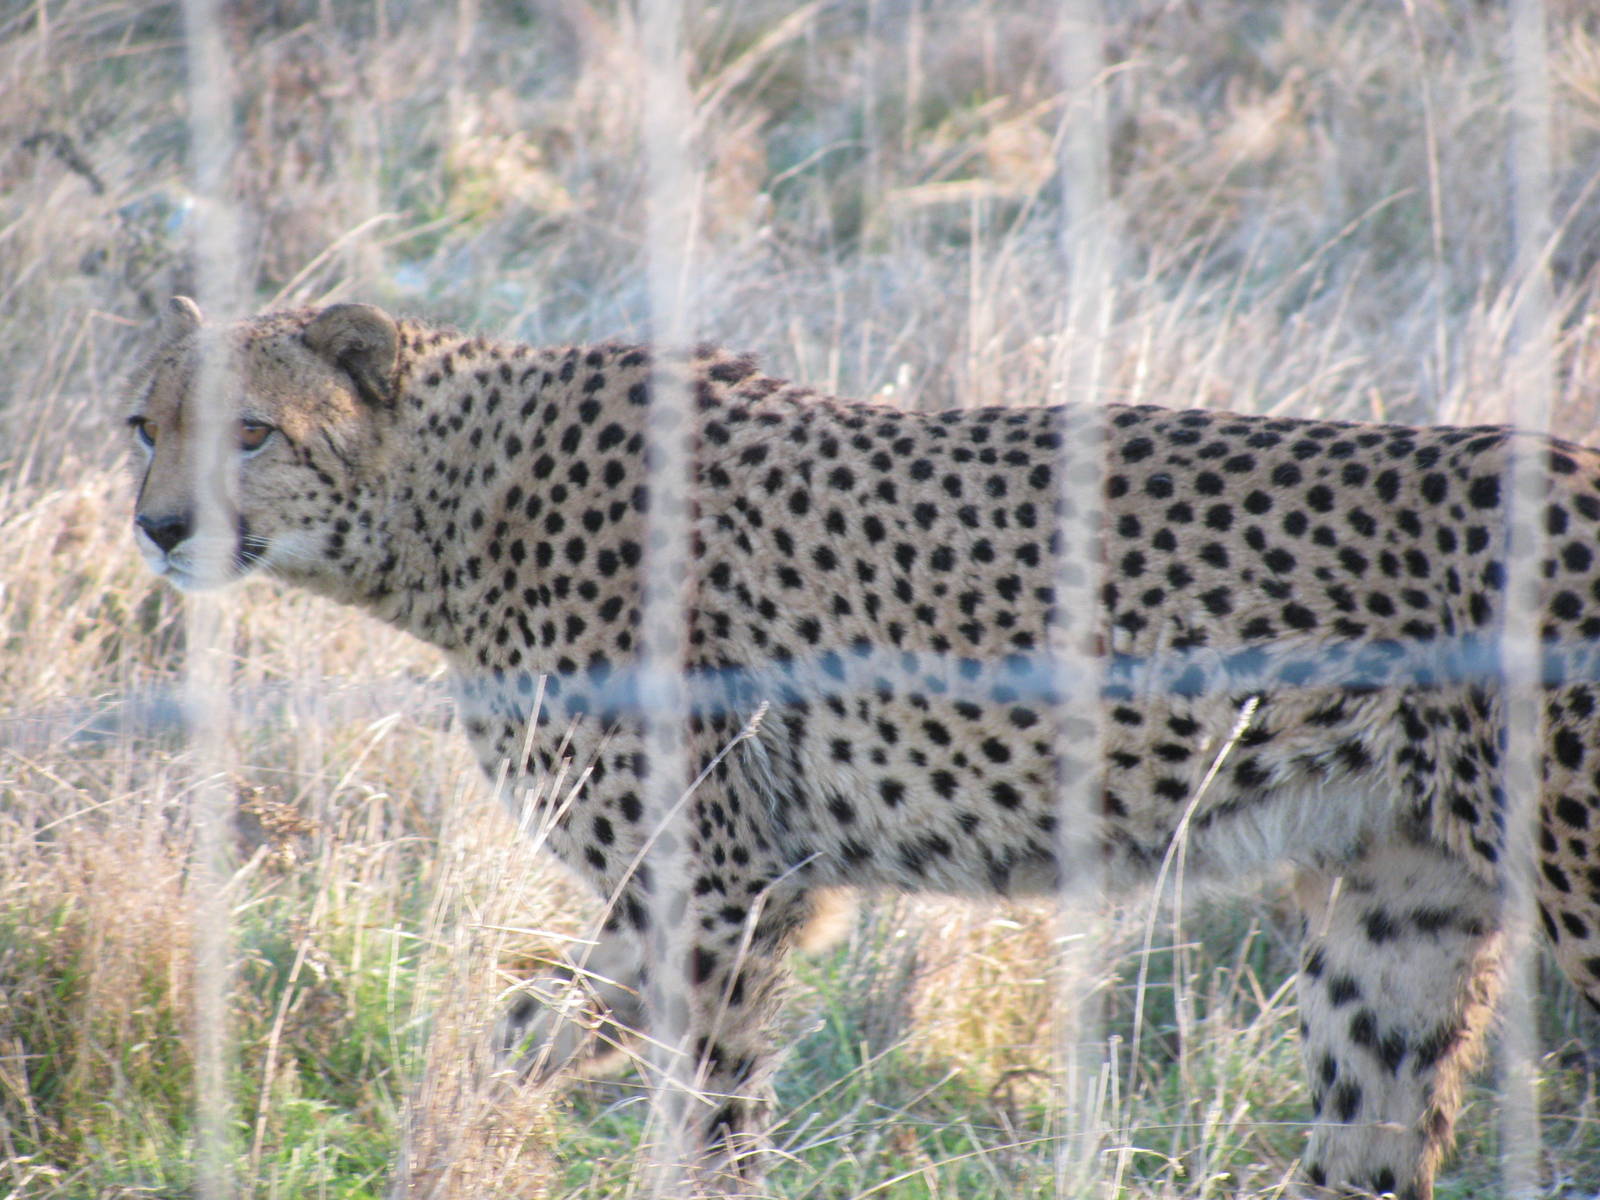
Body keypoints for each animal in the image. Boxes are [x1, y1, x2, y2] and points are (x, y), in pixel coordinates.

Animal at [126, 296, 1600, 1199]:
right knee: (1373, 1138)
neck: (451, 509)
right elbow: (522, 1036)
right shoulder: (696, 894)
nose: (156, 526)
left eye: (251, 431)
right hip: (1396, 918)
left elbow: (703, 1113)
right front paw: (449, 1134)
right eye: (147, 424)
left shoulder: (719, 891)